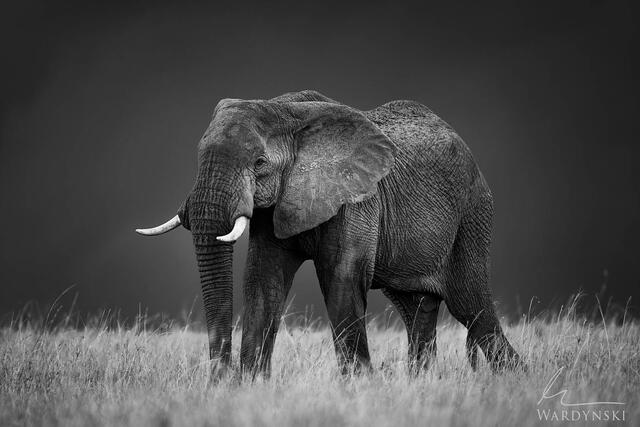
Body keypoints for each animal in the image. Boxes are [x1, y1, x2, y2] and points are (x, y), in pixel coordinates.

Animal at [136, 90, 521, 376]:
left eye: (259, 164)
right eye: (198, 158)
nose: (220, 378)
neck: (285, 110)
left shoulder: (358, 199)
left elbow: (342, 280)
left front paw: (358, 385)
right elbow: (263, 281)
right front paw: (251, 385)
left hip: (472, 214)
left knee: (472, 306)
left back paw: (513, 379)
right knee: (417, 310)